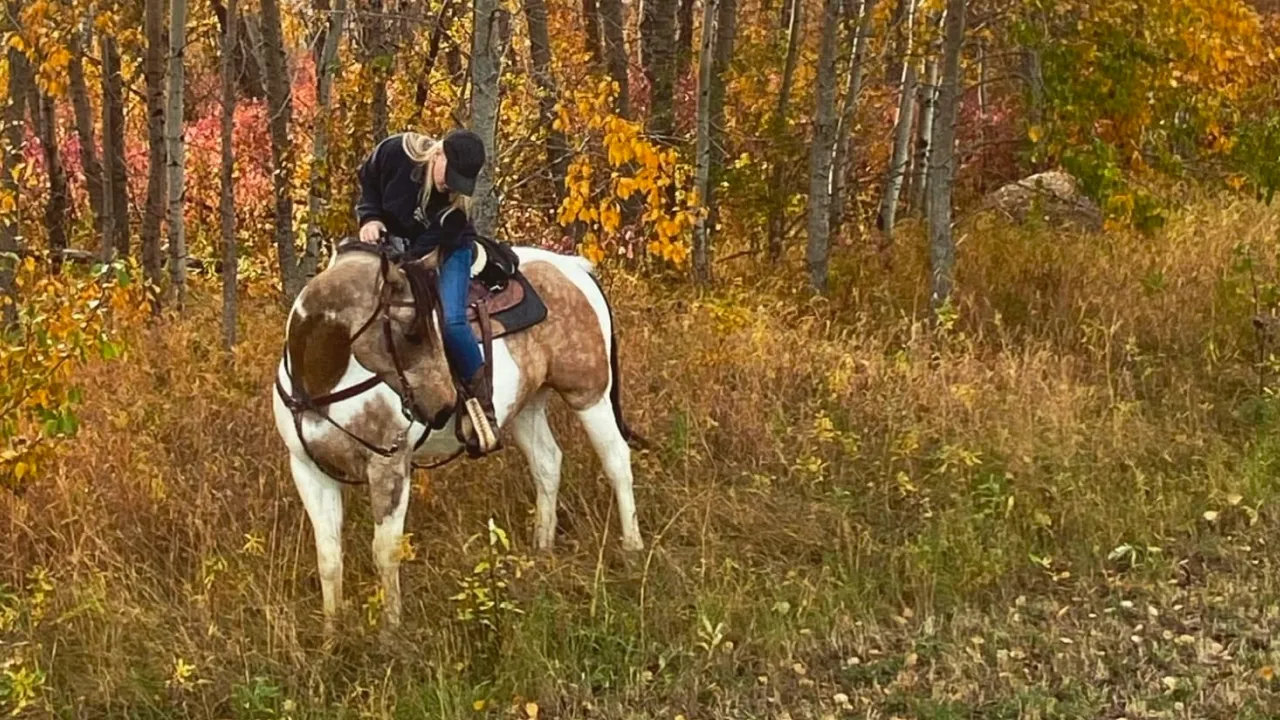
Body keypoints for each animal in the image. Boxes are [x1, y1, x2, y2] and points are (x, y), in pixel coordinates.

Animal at [271, 236, 645, 632]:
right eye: (412, 333)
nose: (442, 406)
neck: (322, 382)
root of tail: (573, 268)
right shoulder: (308, 470)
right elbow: (328, 556)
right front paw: (331, 632)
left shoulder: (389, 468)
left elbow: (385, 552)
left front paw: (391, 631)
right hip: (527, 406)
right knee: (547, 464)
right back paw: (541, 549)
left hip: (589, 395)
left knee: (617, 463)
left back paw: (632, 550)